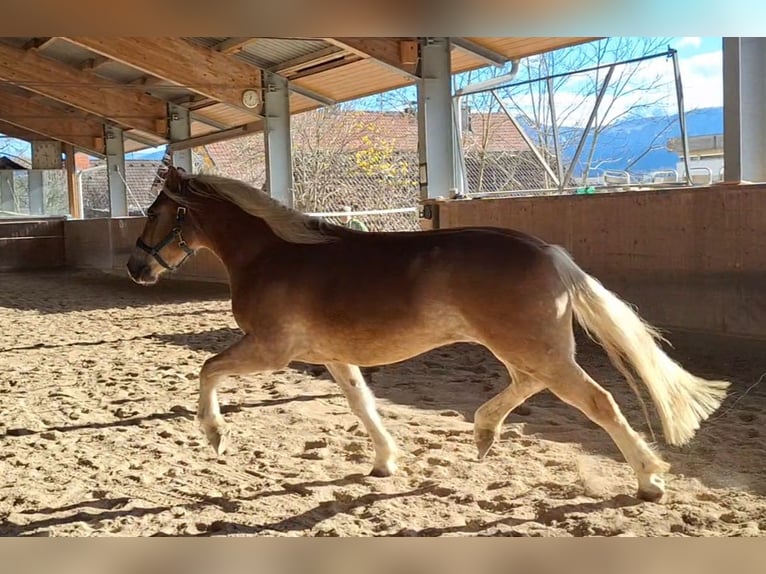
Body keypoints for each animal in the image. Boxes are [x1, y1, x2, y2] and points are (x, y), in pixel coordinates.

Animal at [126, 166, 730, 502]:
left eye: (156, 211)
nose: (137, 268)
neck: (272, 254)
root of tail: (548, 253)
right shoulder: (332, 355)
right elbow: (362, 404)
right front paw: (385, 461)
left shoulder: (271, 351)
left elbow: (207, 369)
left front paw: (214, 434)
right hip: (524, 348)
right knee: (529, 385)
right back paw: (484, 432)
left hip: (534, 348)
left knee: (597, 401)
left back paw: (650, 481)